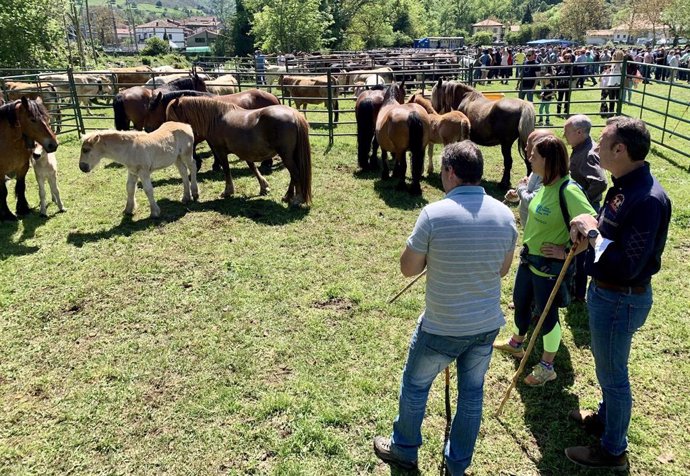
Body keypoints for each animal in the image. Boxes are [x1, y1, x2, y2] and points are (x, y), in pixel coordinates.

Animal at [165, 97, 310, 206]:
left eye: (171, 117)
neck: (216, 118)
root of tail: (295, 115)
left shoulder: (220, 151)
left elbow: (226, 169)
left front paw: (228, 191)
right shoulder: (244, 151)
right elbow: (253, 167)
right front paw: (264, 186)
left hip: (286, 156)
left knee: (296, 174)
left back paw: (297, 199)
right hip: (290, 156)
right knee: (294, 175)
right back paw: (288, 197)